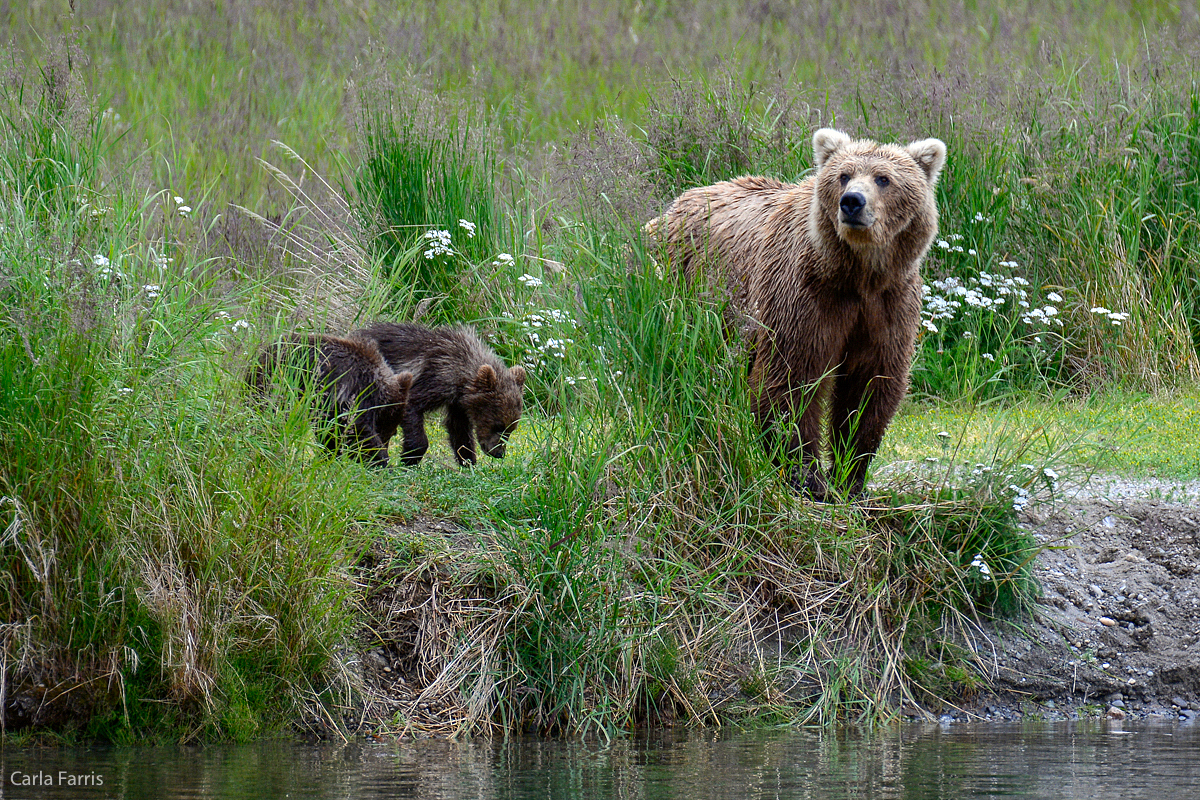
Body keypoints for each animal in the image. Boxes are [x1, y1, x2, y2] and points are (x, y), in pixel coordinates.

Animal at [648, 128, 945, 496]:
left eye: (883, 178)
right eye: (843, 175)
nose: (852, 202)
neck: (858, 272)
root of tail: (674, 205)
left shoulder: (887, 304)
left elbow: (868, 385)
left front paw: (850, 477)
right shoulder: (805, 295)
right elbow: (792, 379)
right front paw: (807, 477)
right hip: (687, 287)